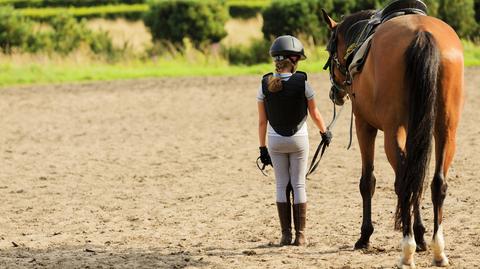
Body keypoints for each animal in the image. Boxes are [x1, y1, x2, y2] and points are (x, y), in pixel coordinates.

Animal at [320, 2, 464, 266]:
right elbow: (418, 181)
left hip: (391, 132)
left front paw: (365, 237)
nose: (335, 93)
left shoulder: (364, 125)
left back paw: (406, 251)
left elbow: (368, 181)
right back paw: (438, 250)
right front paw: (421, 235)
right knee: (436, 183)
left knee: (404, 184)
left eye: (329, 48)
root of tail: (422, 33)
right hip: (446, 129)